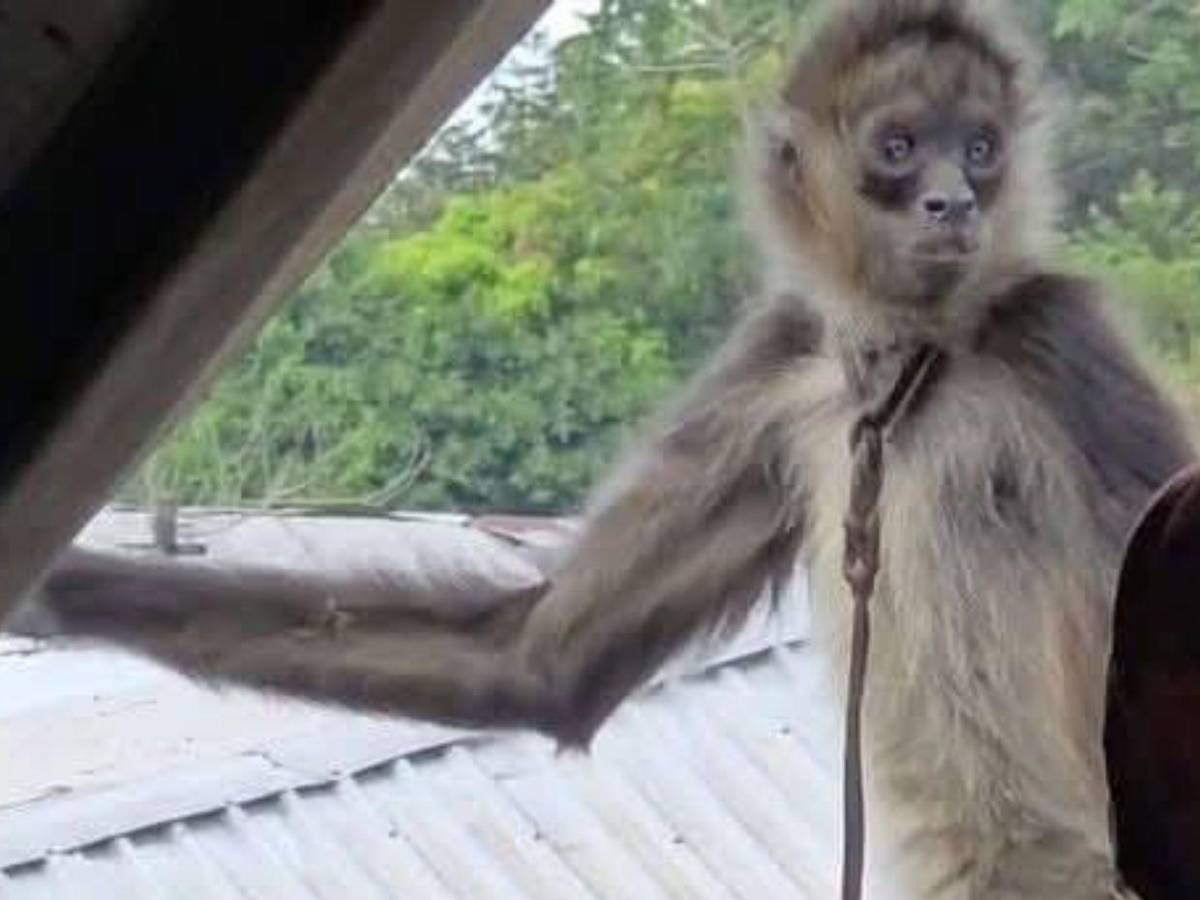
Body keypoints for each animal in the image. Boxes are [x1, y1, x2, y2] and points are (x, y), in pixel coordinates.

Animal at [7, 1, 1196, 896]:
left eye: (981, 149)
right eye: (900, 148)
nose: (953, 199)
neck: (903, 361)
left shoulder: (1052, 333)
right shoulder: (780, 364)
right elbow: (541, 660)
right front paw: (53, 593)